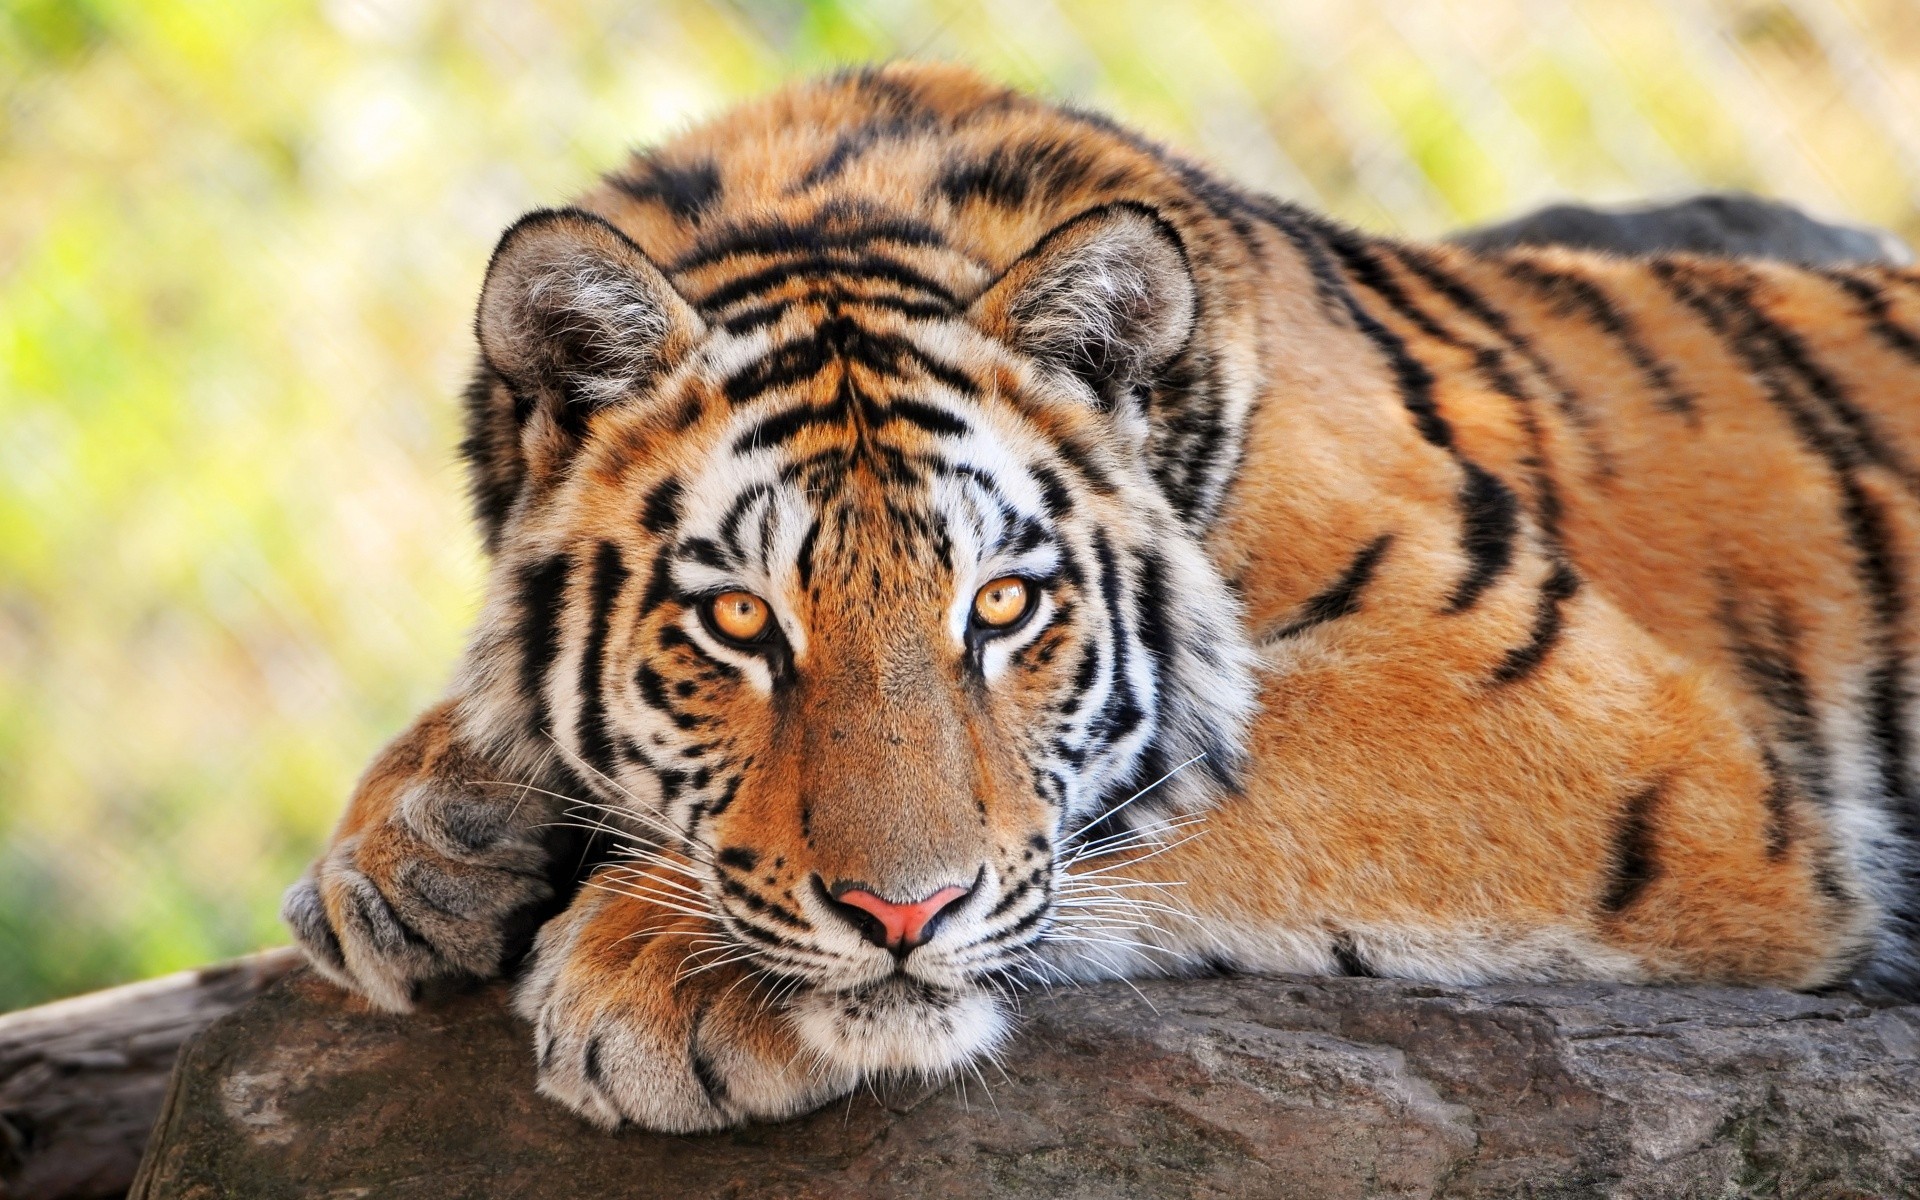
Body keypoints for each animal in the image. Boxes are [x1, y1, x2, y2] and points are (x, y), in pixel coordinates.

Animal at [278, 63, 1920, 1128]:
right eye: (740, 622)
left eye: (1002, 608)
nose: (900, 914)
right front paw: (416, 846)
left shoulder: (1593, 725)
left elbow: (1160, 797)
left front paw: (656, 970)